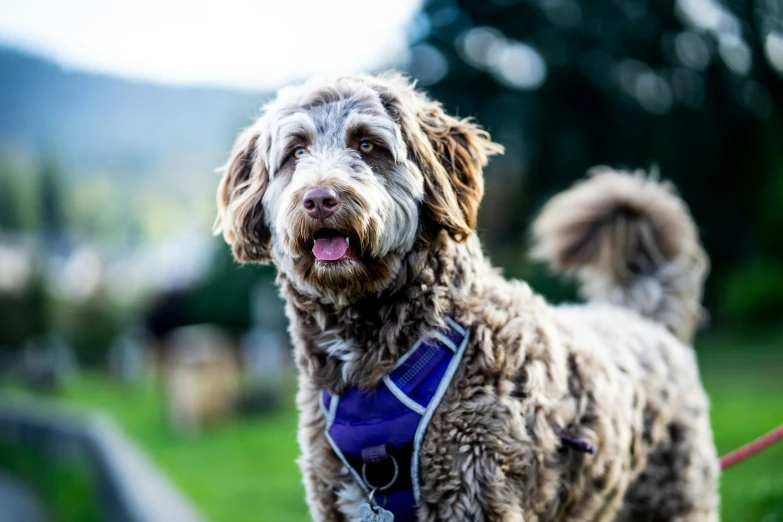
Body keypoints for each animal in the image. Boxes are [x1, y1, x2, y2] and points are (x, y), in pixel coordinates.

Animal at [213, 73, 716, 520]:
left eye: (368, 145)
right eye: (296, 151)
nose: (320, 199)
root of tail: (643, 318)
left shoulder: (475, 489)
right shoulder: (334, 496)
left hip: (675, 498)